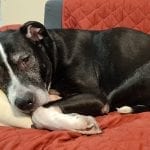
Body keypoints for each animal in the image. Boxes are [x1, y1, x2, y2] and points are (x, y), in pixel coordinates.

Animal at [0, 20, 150, 134]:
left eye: (25, 59)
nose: (23, 103)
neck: (55, 52)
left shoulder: (95, 96)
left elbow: (39, 112)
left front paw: (82, 123)